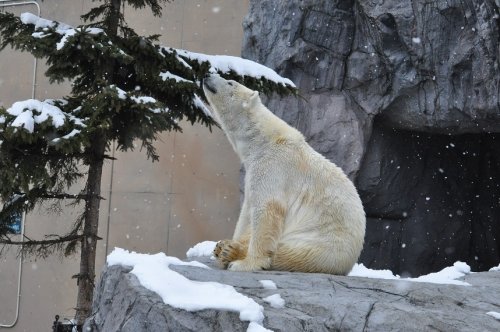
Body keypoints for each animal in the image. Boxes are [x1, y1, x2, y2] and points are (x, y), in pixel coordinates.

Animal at [201, 75, 366, 274]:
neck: (262, 140)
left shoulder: (274, 166)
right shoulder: (254, 170)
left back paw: (232, 252)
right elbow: (247, 213)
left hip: (322, 244)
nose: (207, 75)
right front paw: (228, 245)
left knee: (287, 254)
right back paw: (223, 248)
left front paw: (245, 263)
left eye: (230, 82)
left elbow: (266, 209)